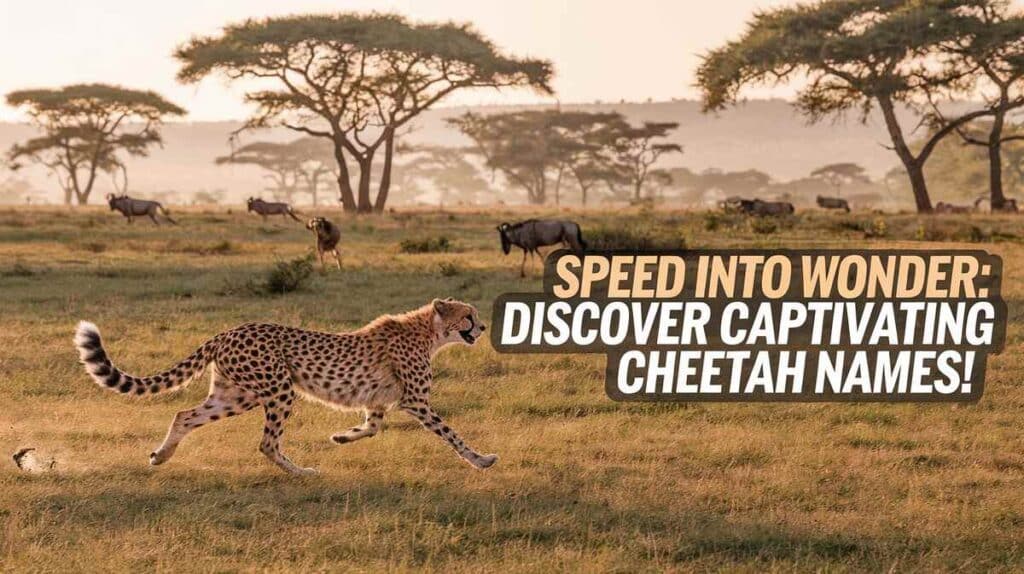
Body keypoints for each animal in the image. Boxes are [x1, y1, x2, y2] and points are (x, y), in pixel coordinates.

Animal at [73, 298, 493, 475]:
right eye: (469, 316)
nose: (485, 326)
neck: (429, 332)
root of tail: (228, 331)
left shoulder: (378, 403)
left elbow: (371, 428)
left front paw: (341, 437)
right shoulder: (417, 402)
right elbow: (452, 434)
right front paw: (481, 459)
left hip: (236, 394)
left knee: (184, 414)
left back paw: (161, 456)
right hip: (278, 389)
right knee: (267, 442)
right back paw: (301, 471)